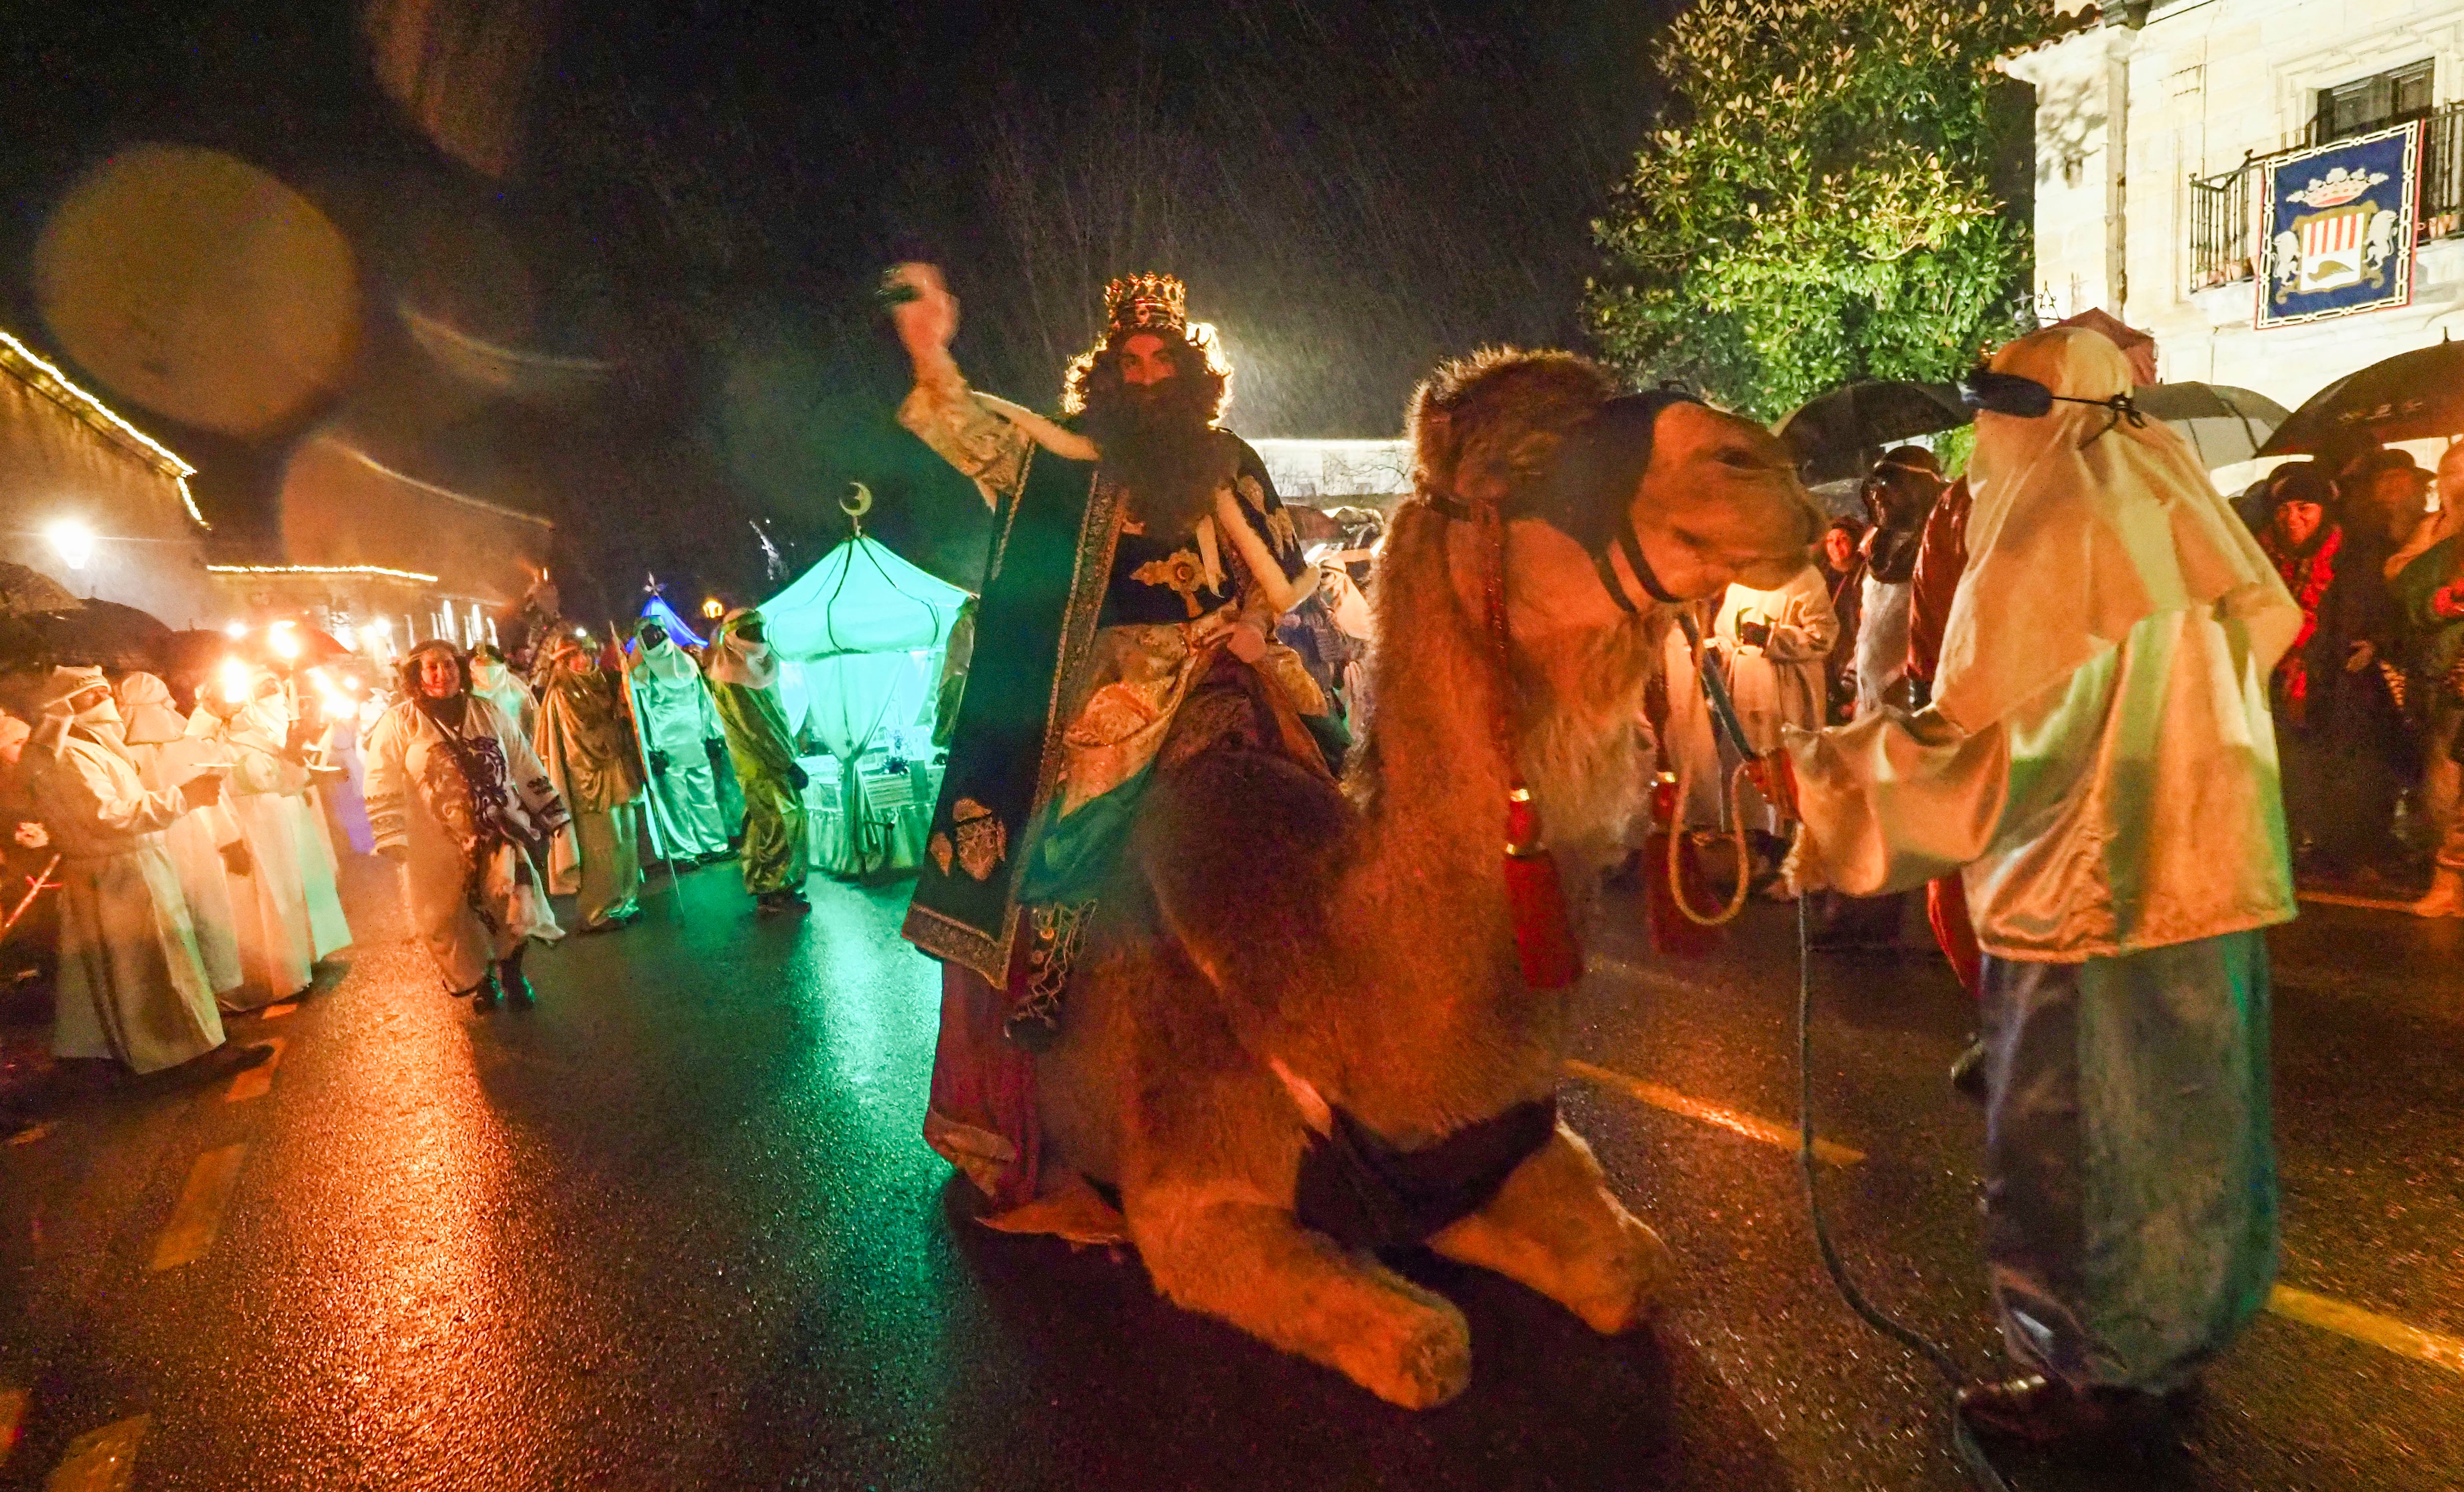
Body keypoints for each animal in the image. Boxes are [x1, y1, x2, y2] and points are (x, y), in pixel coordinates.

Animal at [1030, 350, 1823, 1411]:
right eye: (1529, 460)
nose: (1761, 466)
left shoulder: (1496, 1139)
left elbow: (1634, 1268)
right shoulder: (1187, 1192)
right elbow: (1433, 1346)